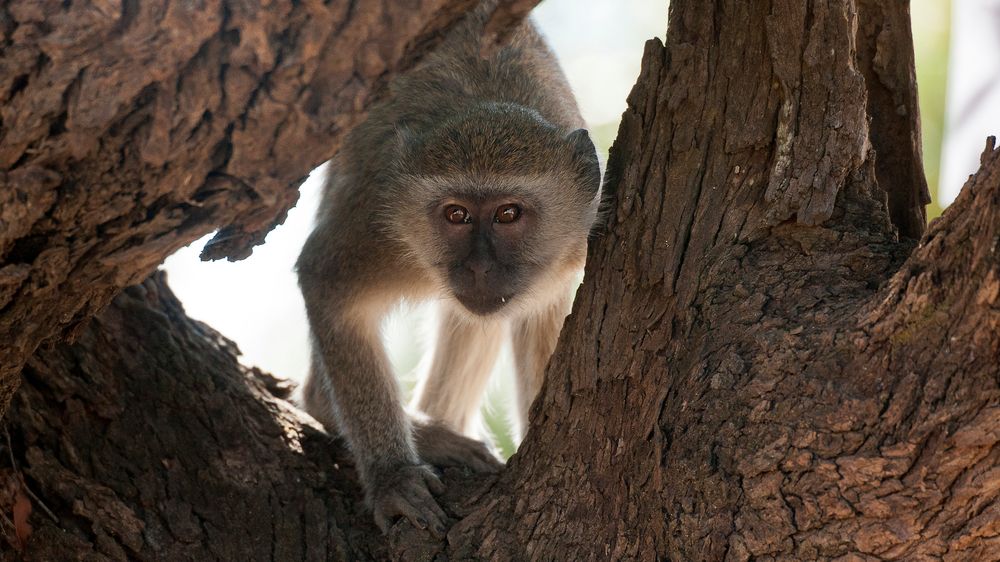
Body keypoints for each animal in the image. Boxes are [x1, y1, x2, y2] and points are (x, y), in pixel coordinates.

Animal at [292, 1, 596, 532]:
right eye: (456, 215)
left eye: (508, 214)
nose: (478, 268)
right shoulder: (377, 222)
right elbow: (324, 283)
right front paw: (393, 476)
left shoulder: (575, 244)